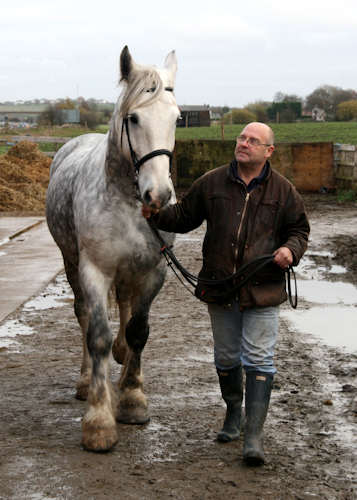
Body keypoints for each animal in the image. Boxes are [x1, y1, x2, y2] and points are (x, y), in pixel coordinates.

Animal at [46, 47, 179, 454]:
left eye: (177, 118)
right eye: (133, 118)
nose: (159, 196)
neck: (127, 200)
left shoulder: (154, 271)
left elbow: (138, 330)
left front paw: (133, 399)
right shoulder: (94, 270)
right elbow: (99, 335)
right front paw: (99, 421)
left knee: (124, 306)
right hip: (72, 263)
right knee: (85, 316)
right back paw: (86, 380)